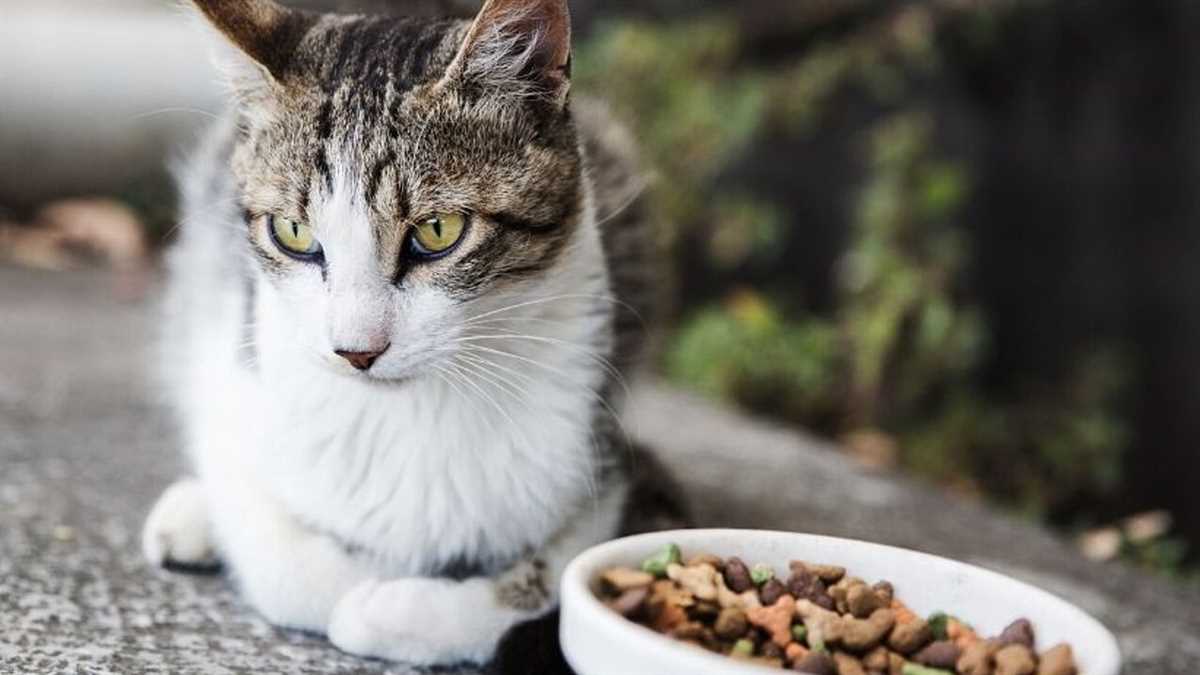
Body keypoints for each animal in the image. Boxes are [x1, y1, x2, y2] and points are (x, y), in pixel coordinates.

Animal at [140, 0, 672, 662]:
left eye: (439, 231)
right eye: (293, 233)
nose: (355, 351)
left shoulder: (600, 450)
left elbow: (559, 576)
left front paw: (398, 607)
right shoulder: (235, 366)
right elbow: (281, 554)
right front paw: (364, 584)